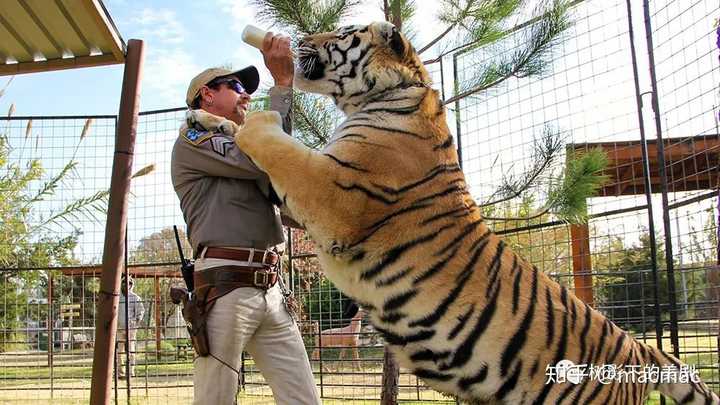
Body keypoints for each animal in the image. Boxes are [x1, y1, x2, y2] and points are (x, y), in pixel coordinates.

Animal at [186, 21, 719, 405]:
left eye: (339, 34)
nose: (299, 40)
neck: (383, 95)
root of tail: (635, 345)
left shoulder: (332, 192)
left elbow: (272, 141)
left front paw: (252, 117)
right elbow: (241, 138)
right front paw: (204, 117)